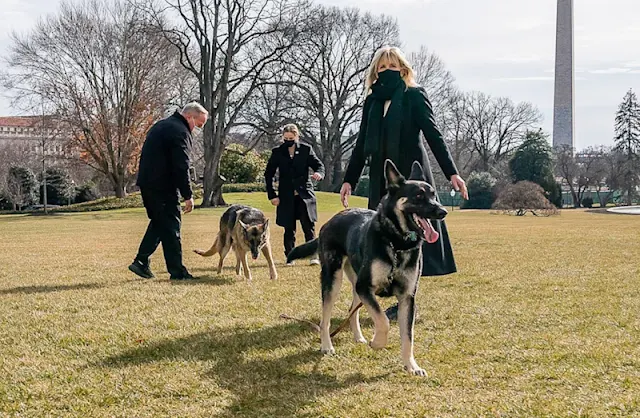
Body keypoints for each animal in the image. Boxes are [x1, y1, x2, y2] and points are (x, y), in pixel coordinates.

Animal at [288, 159, 448, 376]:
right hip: (334, 280)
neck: (396, 242)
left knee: (351, 309)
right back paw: (327, 346)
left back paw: (358, 337)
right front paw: (378, 342)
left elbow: (408, 336)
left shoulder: (407, 297)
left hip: (355, 282)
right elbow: (383, 320)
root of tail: (332, 219)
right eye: (418, 195)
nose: (442, 212)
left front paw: (411, 366)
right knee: (325, 318)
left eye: (433, 194)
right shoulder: (366, 287)